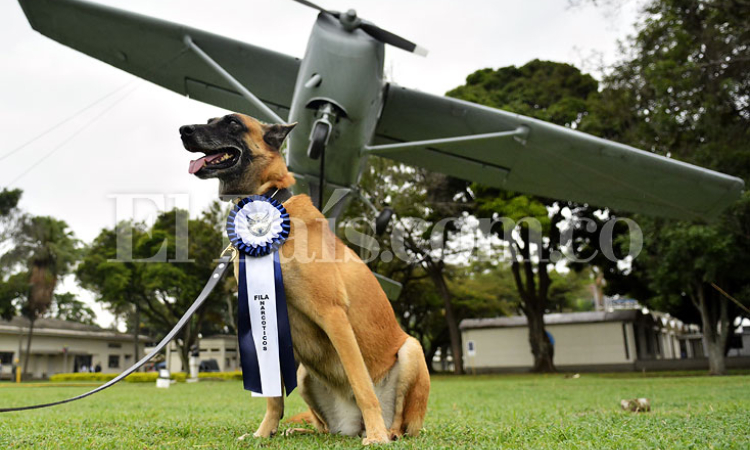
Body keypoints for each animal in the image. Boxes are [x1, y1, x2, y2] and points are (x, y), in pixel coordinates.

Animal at [179, 113, 432, 446]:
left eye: (233, 123)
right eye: (210, 120)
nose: (183, 130)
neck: (265, 207)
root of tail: (353, 425)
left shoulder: (333, 315)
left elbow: (362, 383)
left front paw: (377, 436)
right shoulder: (267, 321)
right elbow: (274, 396)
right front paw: (264, 433)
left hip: (412, 349)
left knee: (402, 423)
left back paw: (384, 431)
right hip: (302, 376)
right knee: (324, 427)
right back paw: (301, 429)